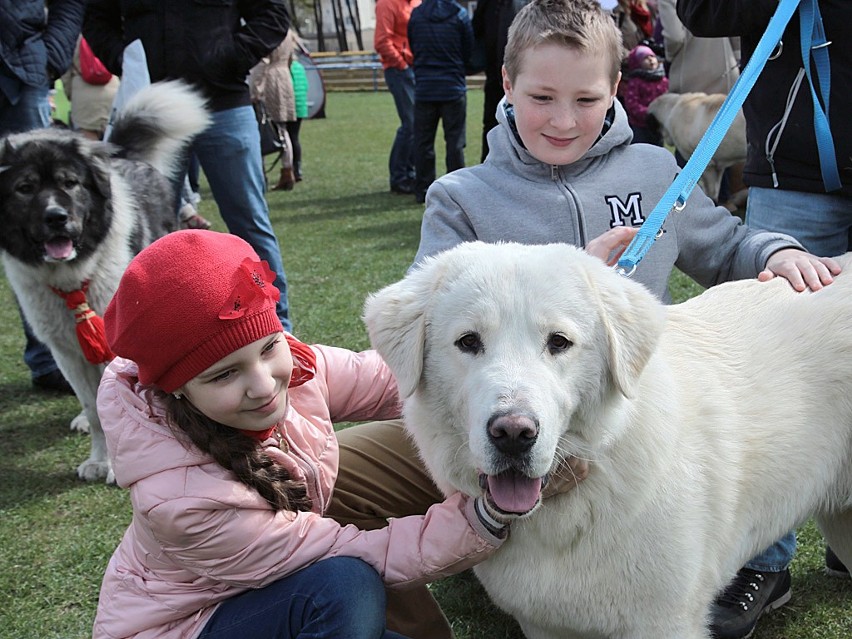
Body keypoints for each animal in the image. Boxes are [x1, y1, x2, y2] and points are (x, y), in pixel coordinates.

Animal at [0, 81, 211, 480]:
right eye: (24, 187)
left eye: (70, 182)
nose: (56, 217)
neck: (74, 278)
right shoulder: (65, 349)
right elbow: (94, 406)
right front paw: (100, 459)